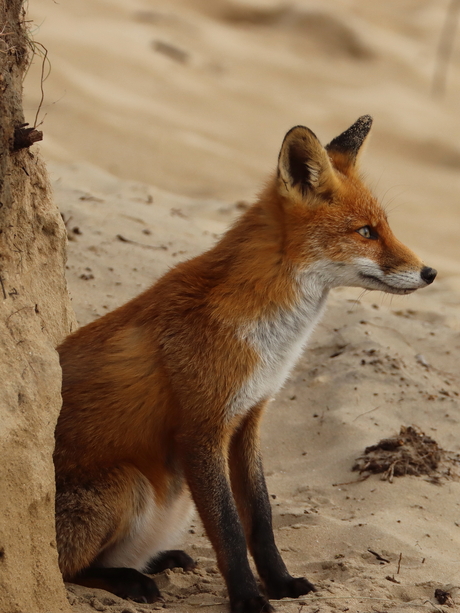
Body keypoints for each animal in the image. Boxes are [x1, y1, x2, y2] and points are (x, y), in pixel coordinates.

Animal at [55, 116, 436, 612]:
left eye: (385, 226)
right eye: (366, 232)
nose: (431, 272)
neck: (269, 340)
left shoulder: (249, 417)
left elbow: (261, 519)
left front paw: (280, 583)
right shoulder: (202, 429)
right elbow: (229, 531)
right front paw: (249, 599)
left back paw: (159, 561)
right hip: (129, 484)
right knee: (69, 568)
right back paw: (128, 579)